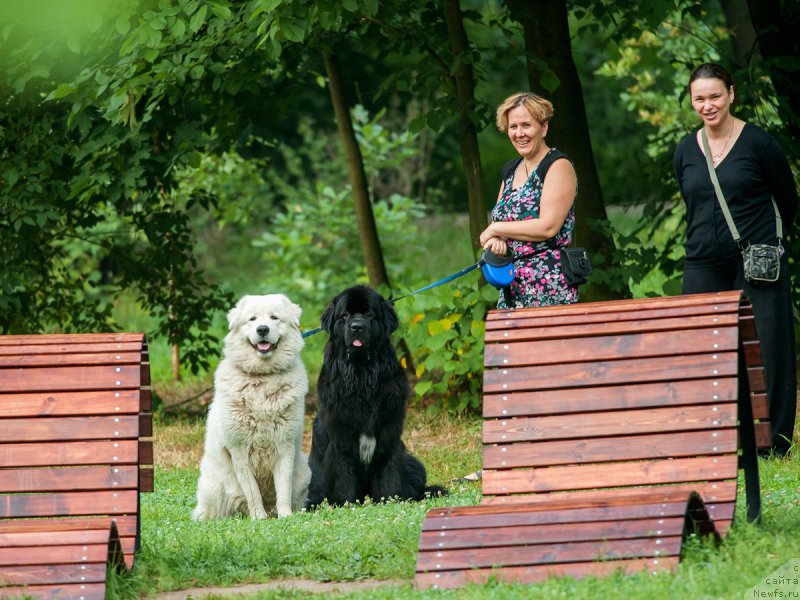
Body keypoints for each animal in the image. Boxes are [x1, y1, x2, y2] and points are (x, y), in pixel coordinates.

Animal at [192, 292, 310, 516]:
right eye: (252, 319)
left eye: (274, 318)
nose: (262, 329)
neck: (262, 378)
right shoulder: (239, 450)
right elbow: (253, 493)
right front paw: (259, 518)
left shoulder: (285, 445)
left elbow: (283, 489)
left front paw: (286, 517)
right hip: (213, 487)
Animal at [306, 286, 446, 506]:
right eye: (345, 315)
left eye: (370, 315)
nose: (357, 327)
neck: (361, 373)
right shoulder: (340, 437)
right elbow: (344, 475)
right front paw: (346, 504)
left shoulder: (389, 432)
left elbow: (389, 475)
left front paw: (390, 501)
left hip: (413, 462)